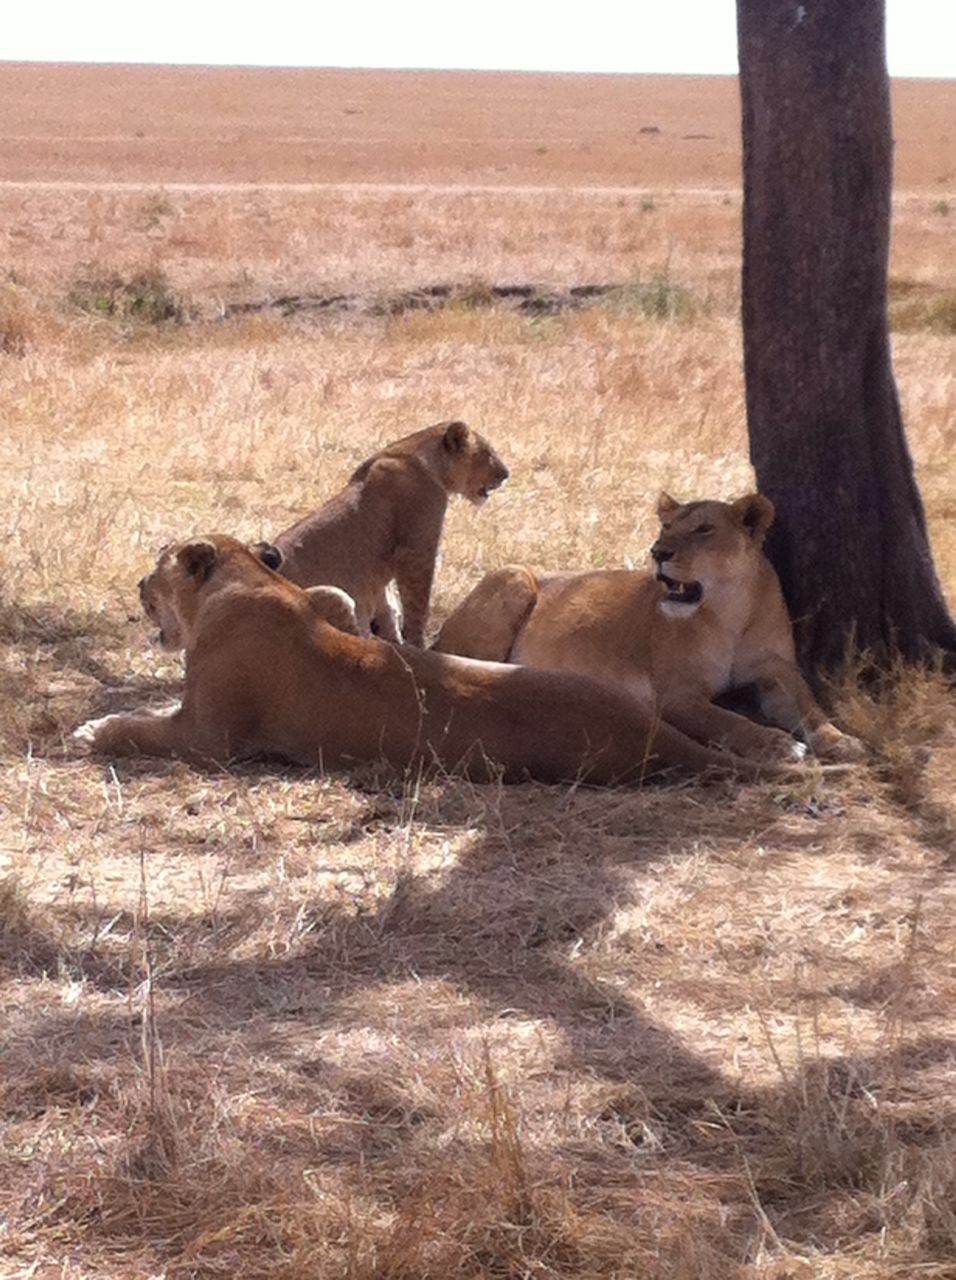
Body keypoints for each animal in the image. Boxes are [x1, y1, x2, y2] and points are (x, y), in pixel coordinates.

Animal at [72, 534, 805, 784]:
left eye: (156, 565)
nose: (136, 586)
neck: (248, 582)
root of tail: (650, 737)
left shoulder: (209, 738)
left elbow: (139, 729)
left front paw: (91, 730)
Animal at [273, 420, 509, 647]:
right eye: (489, 453)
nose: (507, 474)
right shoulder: (416, 550)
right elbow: (417, 602)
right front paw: (416, 644)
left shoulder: (382, 576)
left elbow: (387, 603)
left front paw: (396, 640)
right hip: (333, 597)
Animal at [432, 492, 865, 764]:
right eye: (665, 527)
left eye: (704, 530)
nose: (657, 553)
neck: (729, 612)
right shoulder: (676, 695)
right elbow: (729, 721)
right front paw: (776, 745)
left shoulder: (776, 672)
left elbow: (810, 707)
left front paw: (843, 741)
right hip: (515, 575)